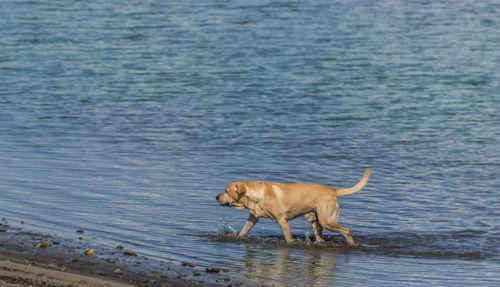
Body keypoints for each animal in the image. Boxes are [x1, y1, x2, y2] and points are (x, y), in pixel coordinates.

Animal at [217, 170, 370, 246]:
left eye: (226, 191)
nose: (216, 197)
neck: (255, 195)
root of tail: (333, 190)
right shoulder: (253, 218)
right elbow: (243, 231)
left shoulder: (282, 220)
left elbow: (288, 238)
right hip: (317, 223)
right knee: (321, 238)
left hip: (327, 221)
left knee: (347, 230)